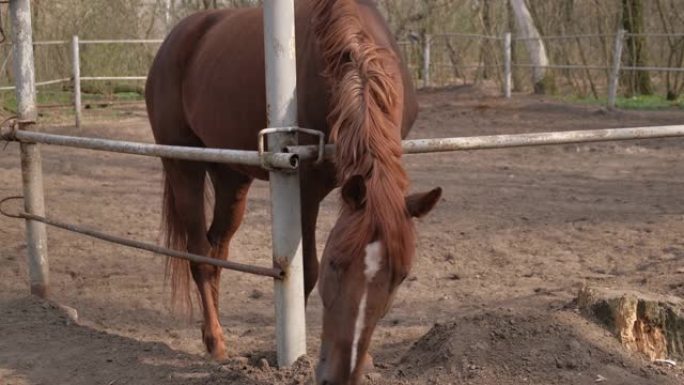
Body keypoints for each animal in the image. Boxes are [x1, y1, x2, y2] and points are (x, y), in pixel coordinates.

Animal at [147, 0, 440, 380]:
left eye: (401, 276)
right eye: (335, 263)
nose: (342, 375)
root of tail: (175, 39)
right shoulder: (305, 190)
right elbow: (306, 273)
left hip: (230, 179)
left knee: (216, 250)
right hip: (183, 166)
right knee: (198, 255)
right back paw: (215, 341)